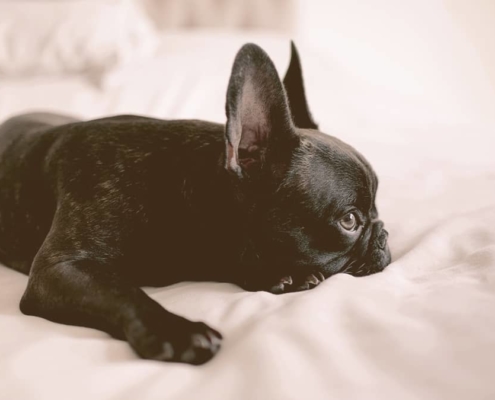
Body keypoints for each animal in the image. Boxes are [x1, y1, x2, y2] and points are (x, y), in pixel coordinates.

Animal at [0, 43, 392, 366]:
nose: (383, 232)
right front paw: (176, 331)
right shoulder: (59, 269)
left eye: (375, 208)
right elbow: (120, 290)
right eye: (349, 220)